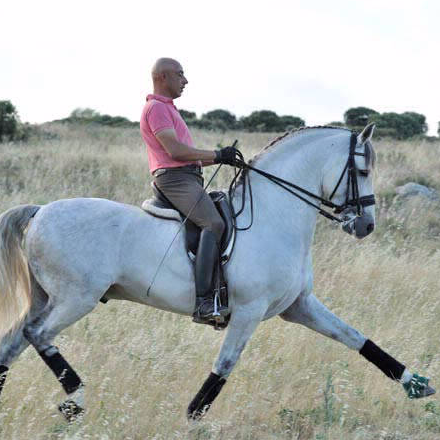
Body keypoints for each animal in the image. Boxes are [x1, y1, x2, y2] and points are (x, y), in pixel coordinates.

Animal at [0, 123, 435, 422]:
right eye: (362, 170)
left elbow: (356, 338)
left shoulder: (299, 305)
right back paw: (76, 399)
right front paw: (191, 419)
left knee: (12, 342)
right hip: (76, 298)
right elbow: (223, 367)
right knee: (38, 334)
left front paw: (415, 382)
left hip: (49, 297)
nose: (365, 226)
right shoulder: (248, 311)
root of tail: (40, 211)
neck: (274, 216)